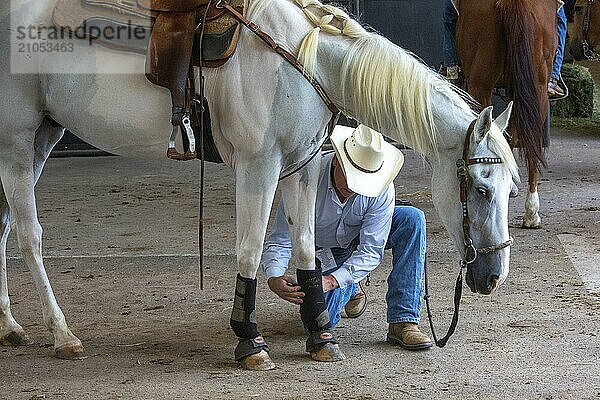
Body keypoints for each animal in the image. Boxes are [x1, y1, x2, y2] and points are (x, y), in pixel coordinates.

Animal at [0, 0, 516, 370]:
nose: (493, 278)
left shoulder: (301, 166)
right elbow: (249, 250)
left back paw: (10, 326)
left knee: (3, 229)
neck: (302, 63)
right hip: (17, 140)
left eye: (509, 190)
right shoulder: (258, 165)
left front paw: (320, 336)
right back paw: (62, 336)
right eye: (481, 188)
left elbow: (305, 247)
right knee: (28, 235)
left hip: (43, 136)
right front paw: (250, 343)